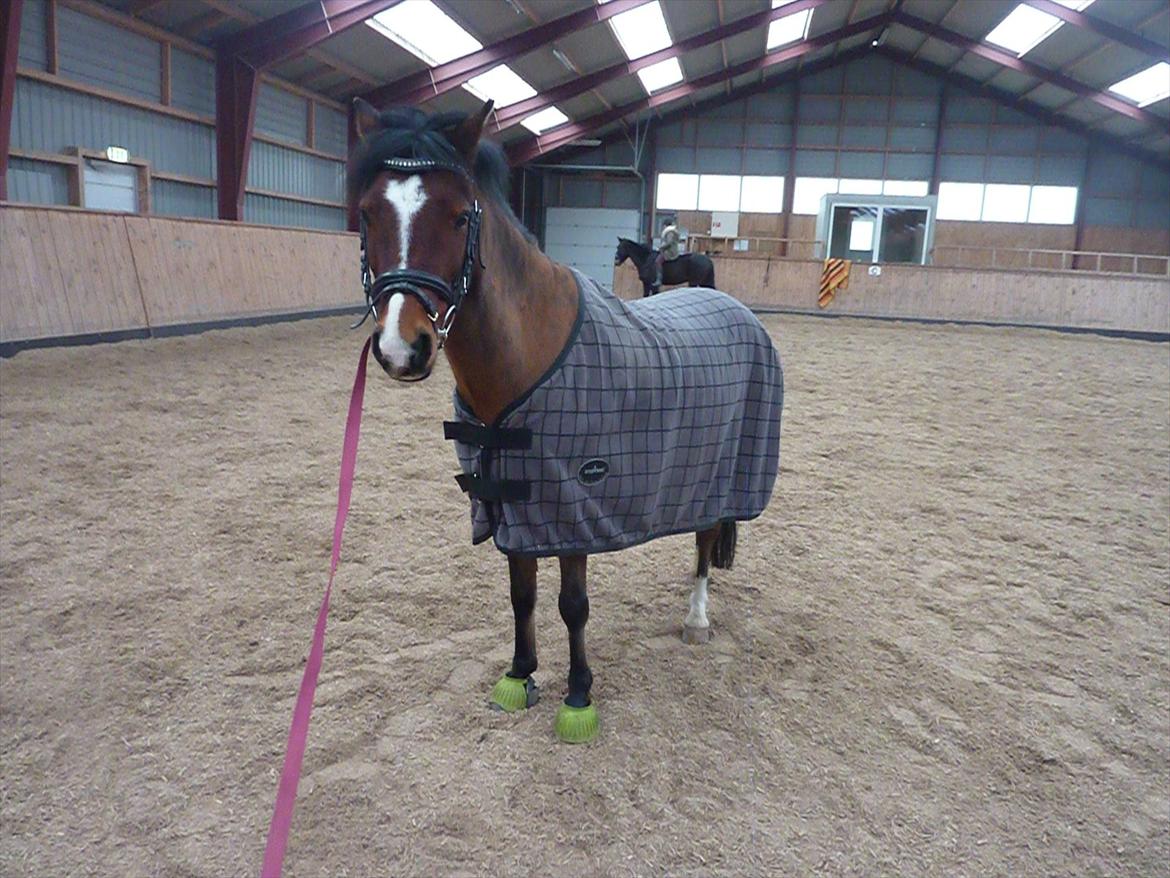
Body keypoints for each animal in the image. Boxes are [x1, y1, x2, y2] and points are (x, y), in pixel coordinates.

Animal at [348, 97, 783, 744]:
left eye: (459, 217)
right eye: (368, 213)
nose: (404, 348)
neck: (527, 353)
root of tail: (732, 304)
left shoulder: (574, 505)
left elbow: (571, 605)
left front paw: (578, 696)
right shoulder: (511, 500)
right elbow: (521, 595)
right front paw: (520, 674)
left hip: (718, 477)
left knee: (705, 543)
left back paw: (697, 620)